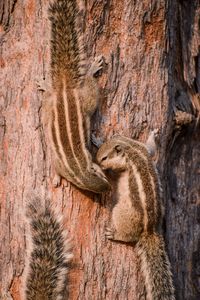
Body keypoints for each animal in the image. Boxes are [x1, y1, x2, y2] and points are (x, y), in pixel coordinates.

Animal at [38, 0, 110, 192]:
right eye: (101, 175)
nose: (110, 188)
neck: (77, 168)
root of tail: (65, 88)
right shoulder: (62, 163)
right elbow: (56, 167)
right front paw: (56, 178)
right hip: (84, 100)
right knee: (91, 88)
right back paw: (92, 69)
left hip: (51, 105)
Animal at [97, 131, 175, 300]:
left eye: (104, 158)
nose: (97, 163)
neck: (130, 147)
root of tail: (149, 230)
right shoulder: (144, 148)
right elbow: (152, 148)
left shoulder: (123, 165)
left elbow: (114, 172)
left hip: (120, 212)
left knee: (128, 236)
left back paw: (115, 234)